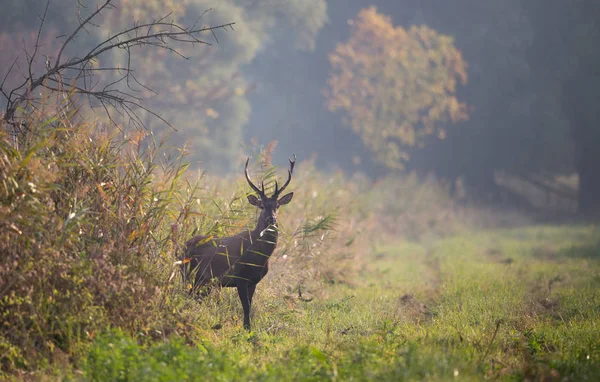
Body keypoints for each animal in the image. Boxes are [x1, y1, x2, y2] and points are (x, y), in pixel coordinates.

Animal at [182, 154, 296, 330]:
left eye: (277, 205)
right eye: (262, 205)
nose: (272, 219)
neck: (260, 257)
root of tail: (180, 247)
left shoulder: (253, 281)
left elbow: (249, 307)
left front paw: (248, 329)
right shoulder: (240, 277)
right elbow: (246, 308)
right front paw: (247, 330)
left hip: (203, 281)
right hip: (188, 272)